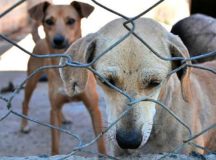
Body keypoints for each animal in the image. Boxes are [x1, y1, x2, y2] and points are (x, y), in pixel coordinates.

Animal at [21, 0, 106, 155]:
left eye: (71, 21)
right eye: (49, 21)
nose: (58, 40)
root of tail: (39, 40)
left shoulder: (94, 108)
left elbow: (101, 143)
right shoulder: (53, 111)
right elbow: (55, 143)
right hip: (32, 80)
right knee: (25, 102)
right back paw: (24, 125)